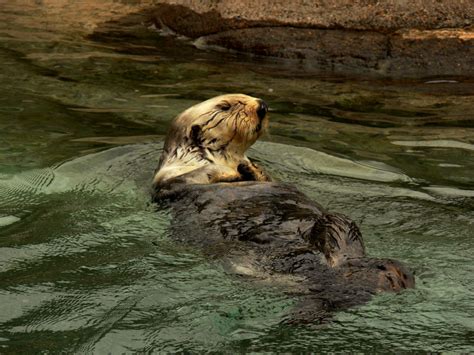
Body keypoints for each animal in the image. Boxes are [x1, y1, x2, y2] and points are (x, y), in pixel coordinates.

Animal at [153, 93, 414, 324]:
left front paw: (249, 167)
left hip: (344, 231)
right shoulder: (168, 183)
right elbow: (196, 176)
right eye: (225, 106)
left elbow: (263, 176)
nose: (262, 105)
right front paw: (233, 170)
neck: (223, 157)